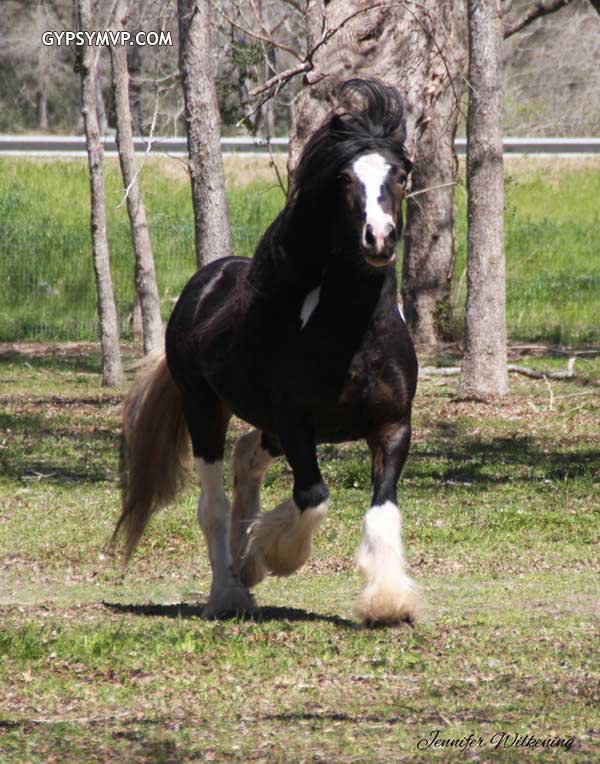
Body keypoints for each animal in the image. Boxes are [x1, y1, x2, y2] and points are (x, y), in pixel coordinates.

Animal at [113, 78, 421, 627]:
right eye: (344, 177)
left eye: (401, 175)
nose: (379, 238)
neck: (356, 336)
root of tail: (205, 281)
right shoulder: (296, 422)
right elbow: (313, 497)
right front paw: (269, 555)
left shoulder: (392, 425)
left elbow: (383, 510)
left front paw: (388, 601)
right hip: (204, 409)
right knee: (213, 503)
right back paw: (228, 591)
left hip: (267, 428)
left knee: (246, 459)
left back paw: (242, 566)